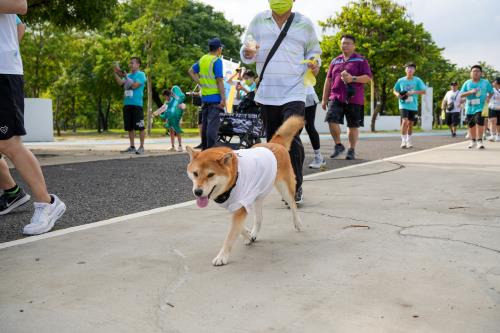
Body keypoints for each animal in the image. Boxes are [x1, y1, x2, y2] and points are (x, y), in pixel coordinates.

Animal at [187, 115, 304, 266]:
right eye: (195, 173)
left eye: (210, 175)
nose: (198, 192)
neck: (234, 176)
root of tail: (274, 144)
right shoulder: (235, 206)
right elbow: (239, 228)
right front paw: (248, 235)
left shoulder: (239, 206)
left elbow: (231, 235)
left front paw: (222, 256)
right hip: (258, 194)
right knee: (259, 218)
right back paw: (254, 232)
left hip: (285, 188)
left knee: (293, 205)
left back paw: (298, 223)